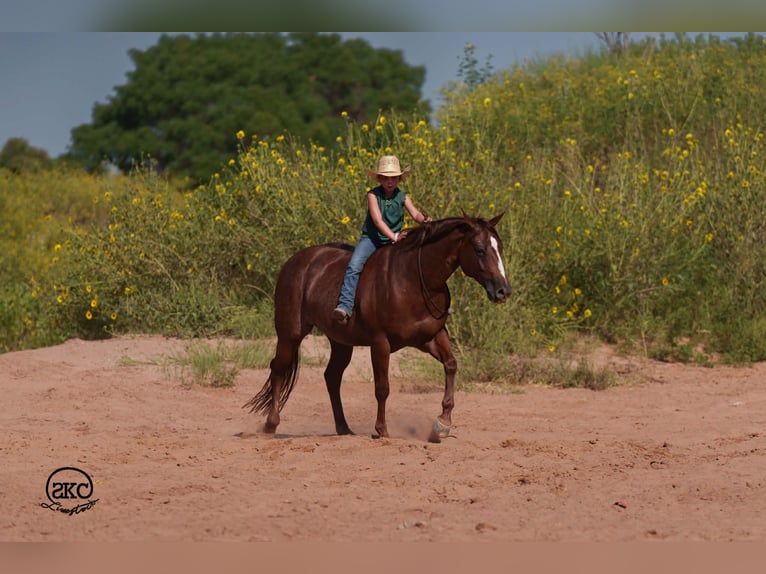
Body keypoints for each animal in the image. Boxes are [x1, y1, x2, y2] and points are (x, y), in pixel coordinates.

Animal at [243, 213, 511, 442]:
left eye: (499, 248)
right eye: (479, 249)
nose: (503, 291)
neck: (413, 278)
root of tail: (295, 262)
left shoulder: (432, 336)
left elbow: (451, 365)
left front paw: (442, 423)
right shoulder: (380, 342)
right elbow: (382, 387)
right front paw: (382, 430)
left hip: (340, 341)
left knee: (331, 376)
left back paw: (343, 427)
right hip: (290, 333)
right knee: (279, 368)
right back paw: (270, 425)